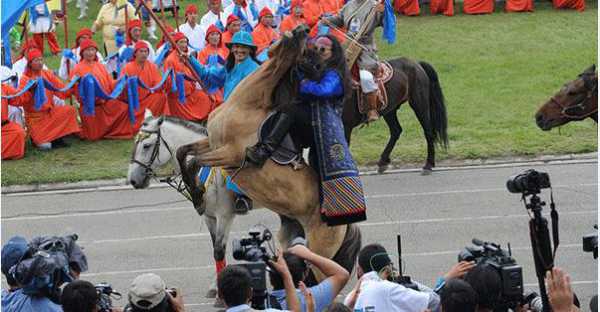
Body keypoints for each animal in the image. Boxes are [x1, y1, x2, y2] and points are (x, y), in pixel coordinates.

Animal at [175, 26, 360, 280]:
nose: (303, 29)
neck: (245, 106)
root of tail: (345, 222)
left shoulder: (231, 154)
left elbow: (194, 163)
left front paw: (197, 195)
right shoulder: (211, 143)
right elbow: (182, 152)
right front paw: (195, 194)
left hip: (321, 254)